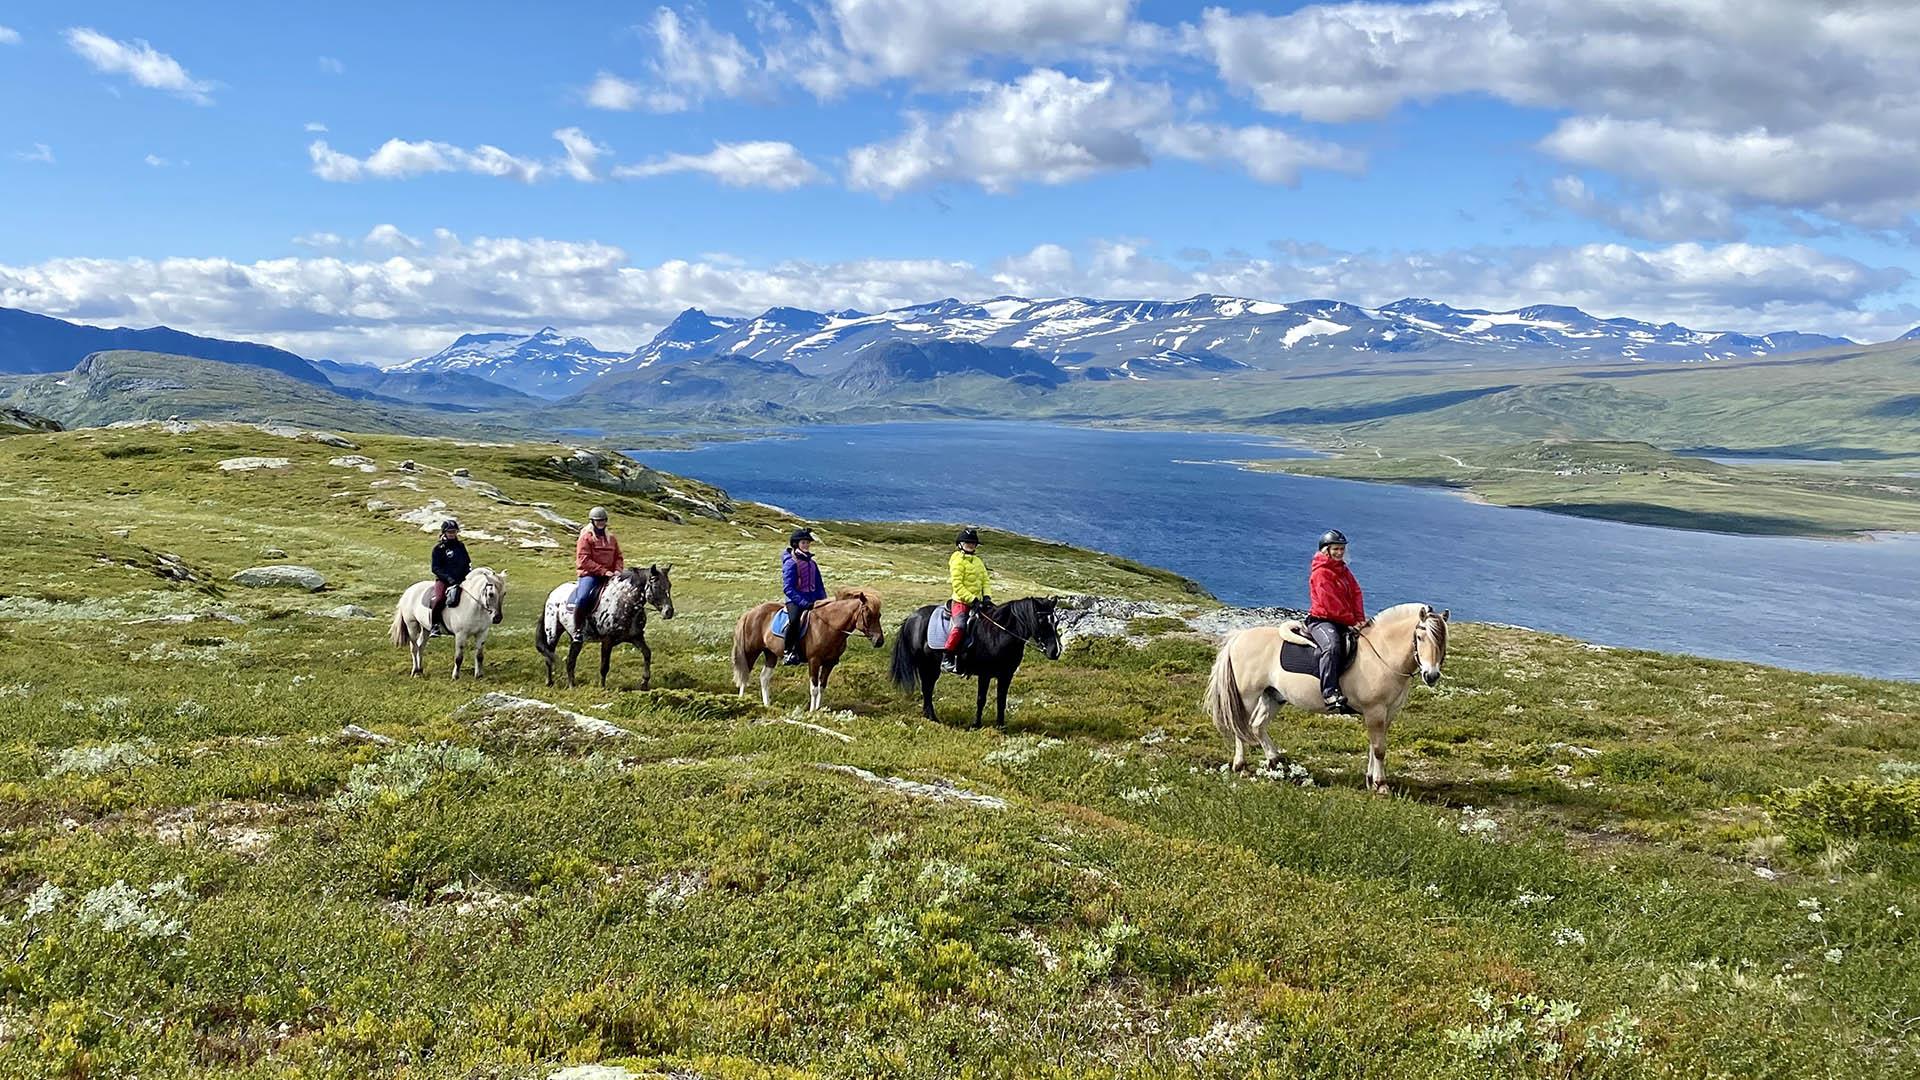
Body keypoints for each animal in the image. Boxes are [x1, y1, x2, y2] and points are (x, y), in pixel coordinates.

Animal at [533, 568, 675, 684]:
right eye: (656, 586)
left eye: (669, 585)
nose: (669, 612)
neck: (625, 602)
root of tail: (552, 594)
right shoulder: (607, 640)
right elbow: (604, 667)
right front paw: (602, 688)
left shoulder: (636, 637)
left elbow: (647, 653)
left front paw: (644, 682)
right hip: (553, 634)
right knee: (550, 657)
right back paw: (553, 683)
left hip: (574, 637)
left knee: (570, 659)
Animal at [733, 584, 883, 711]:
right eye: (868, 615)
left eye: (879, 615)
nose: (879, 641)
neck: (828, 625)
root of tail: (750, 613)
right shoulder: (814, 661)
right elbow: (814, 689)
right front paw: (811, 712)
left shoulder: (829, 663)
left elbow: (822, 687)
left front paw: (818, 711)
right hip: (751, 651)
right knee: (745, 674)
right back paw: (741, 701)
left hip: (770, 653)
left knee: (764, 678)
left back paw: (767, 706)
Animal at [1198, 595, 1451, 791]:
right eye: (1420, 637)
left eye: (1443, 640)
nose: (1431, 675)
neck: (1382, 655)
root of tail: (1238, 637)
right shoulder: (1375, 711)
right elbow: (1379, 749)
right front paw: (1381, 785)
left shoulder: (1386, 714)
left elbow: (1374, 747)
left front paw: (1371, 780)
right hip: (1247, 695)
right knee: (1240, 727)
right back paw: (1241, 766)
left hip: (1273, 696)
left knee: (1257, 726)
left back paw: (1276, 761)